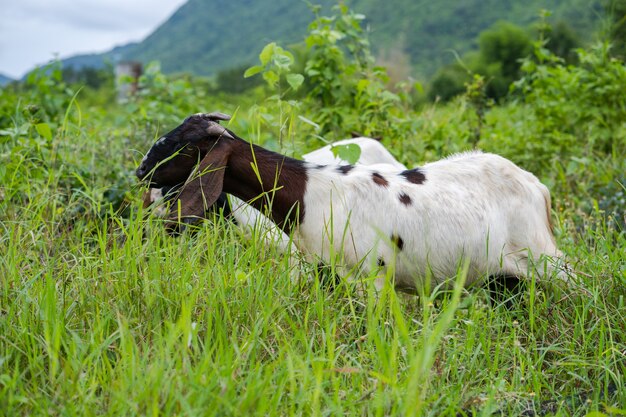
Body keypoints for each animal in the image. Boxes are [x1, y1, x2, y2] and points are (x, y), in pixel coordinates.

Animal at [135, 112, 564, 290]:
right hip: (502, 279)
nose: (140, 172)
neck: (308, 193)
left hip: (546, 262)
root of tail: (536, 186)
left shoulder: (368, 277)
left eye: (175, 145)